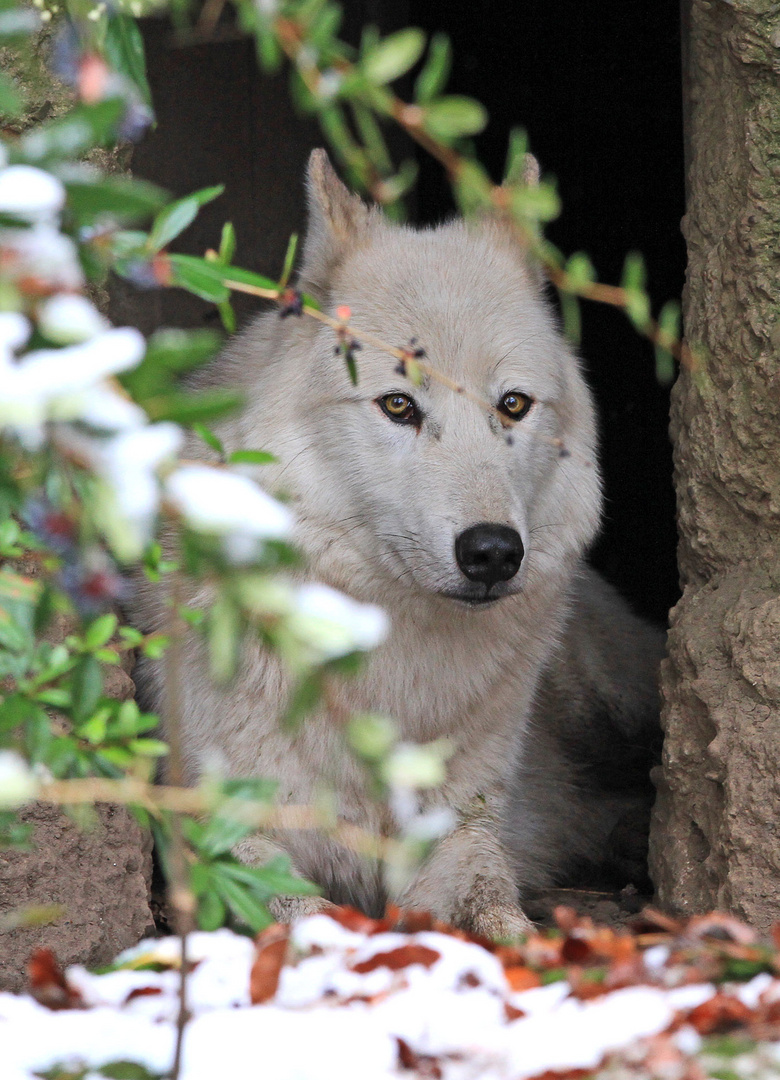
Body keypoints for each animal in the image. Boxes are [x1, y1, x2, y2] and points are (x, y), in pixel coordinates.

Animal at [130, 152, 661, 937]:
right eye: (399, 404)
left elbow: (494, 903)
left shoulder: (459, 828)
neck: (388, 671)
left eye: (512, 405)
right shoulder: (217, 834)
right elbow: (304, 912)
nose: (493, 551)